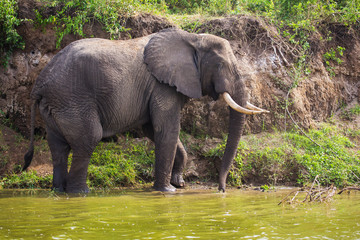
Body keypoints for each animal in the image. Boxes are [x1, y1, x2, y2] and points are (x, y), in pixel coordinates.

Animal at [22, 28, 268, 193]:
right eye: (221, 65)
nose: (221, 190)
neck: (192, 38)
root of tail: (40, 84)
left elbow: (154, 130)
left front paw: (179, 183)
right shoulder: (162, 85)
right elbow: (166, 130)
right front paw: (167, 191)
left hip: (56, 106)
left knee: (59, 148)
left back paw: (59, 191)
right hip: (72, 100)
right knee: (88, 139)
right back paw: (80, 193)